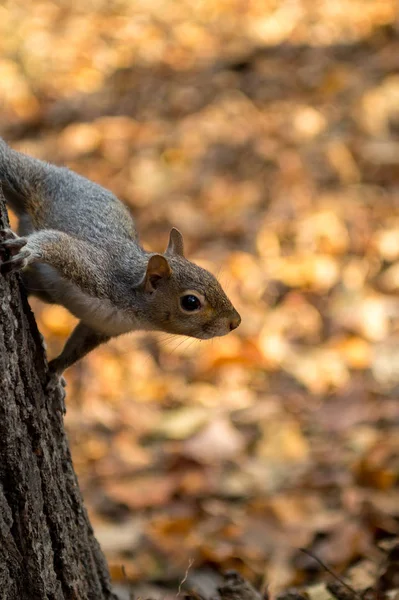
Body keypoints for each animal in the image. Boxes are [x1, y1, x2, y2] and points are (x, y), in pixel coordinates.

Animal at [0, 139, 241, 386]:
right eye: (191, 302)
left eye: (212, 277)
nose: (235, 322)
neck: (131, 310)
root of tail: (68, 173)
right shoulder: (95, 270)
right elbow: (59, 242)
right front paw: (29, 249)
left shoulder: (100, 327)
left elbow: (76, 349)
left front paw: (56, 373)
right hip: (28, 179)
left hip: (46, 290)